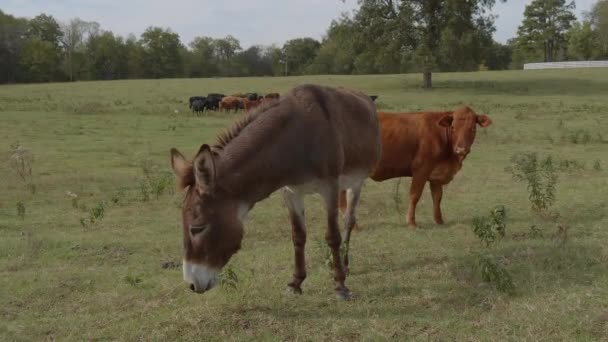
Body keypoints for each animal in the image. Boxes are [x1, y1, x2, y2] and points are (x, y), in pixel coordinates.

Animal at [340, 105, 492, 228]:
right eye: (453, 127)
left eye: (473, 128)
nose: (461, 149)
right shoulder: (421, 169)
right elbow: (415, 195)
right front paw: (412, 222)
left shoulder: (436, 174)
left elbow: (437, 197)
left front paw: (439, 221)